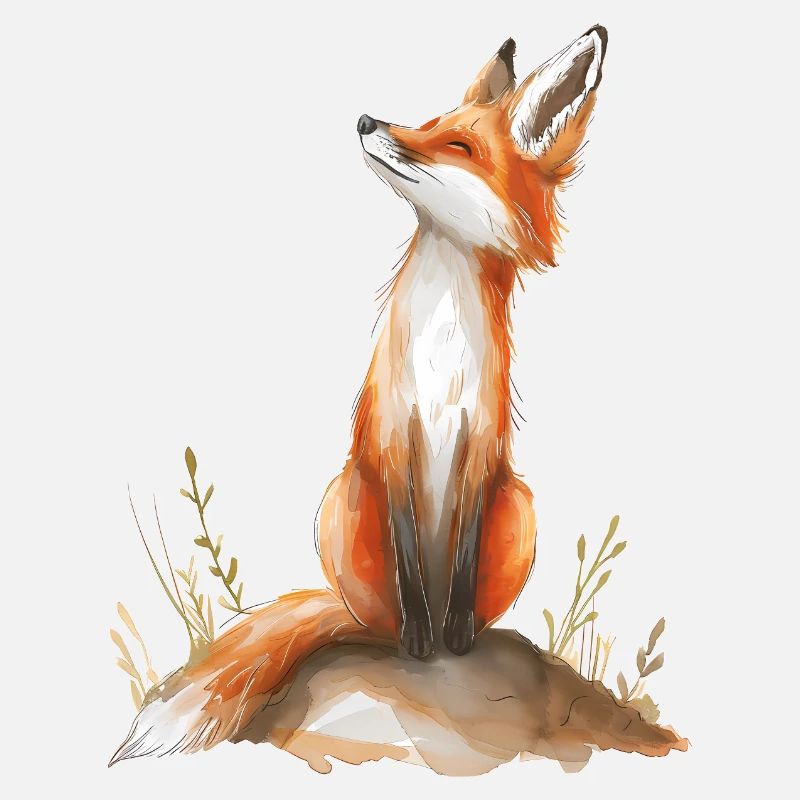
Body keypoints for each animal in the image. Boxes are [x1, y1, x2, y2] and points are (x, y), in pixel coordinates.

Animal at [111, 24, 608, 763]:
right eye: (427, 123)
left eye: (458, 146)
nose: (368, 120)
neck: (440, 354)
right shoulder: (394, 439)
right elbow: (409, 569)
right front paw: (421, 644)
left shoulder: (479, 449)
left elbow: (460, 568)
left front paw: (453, 641)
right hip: (342, 501)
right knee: (370, 620)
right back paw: (392, 637)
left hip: (518, 505)